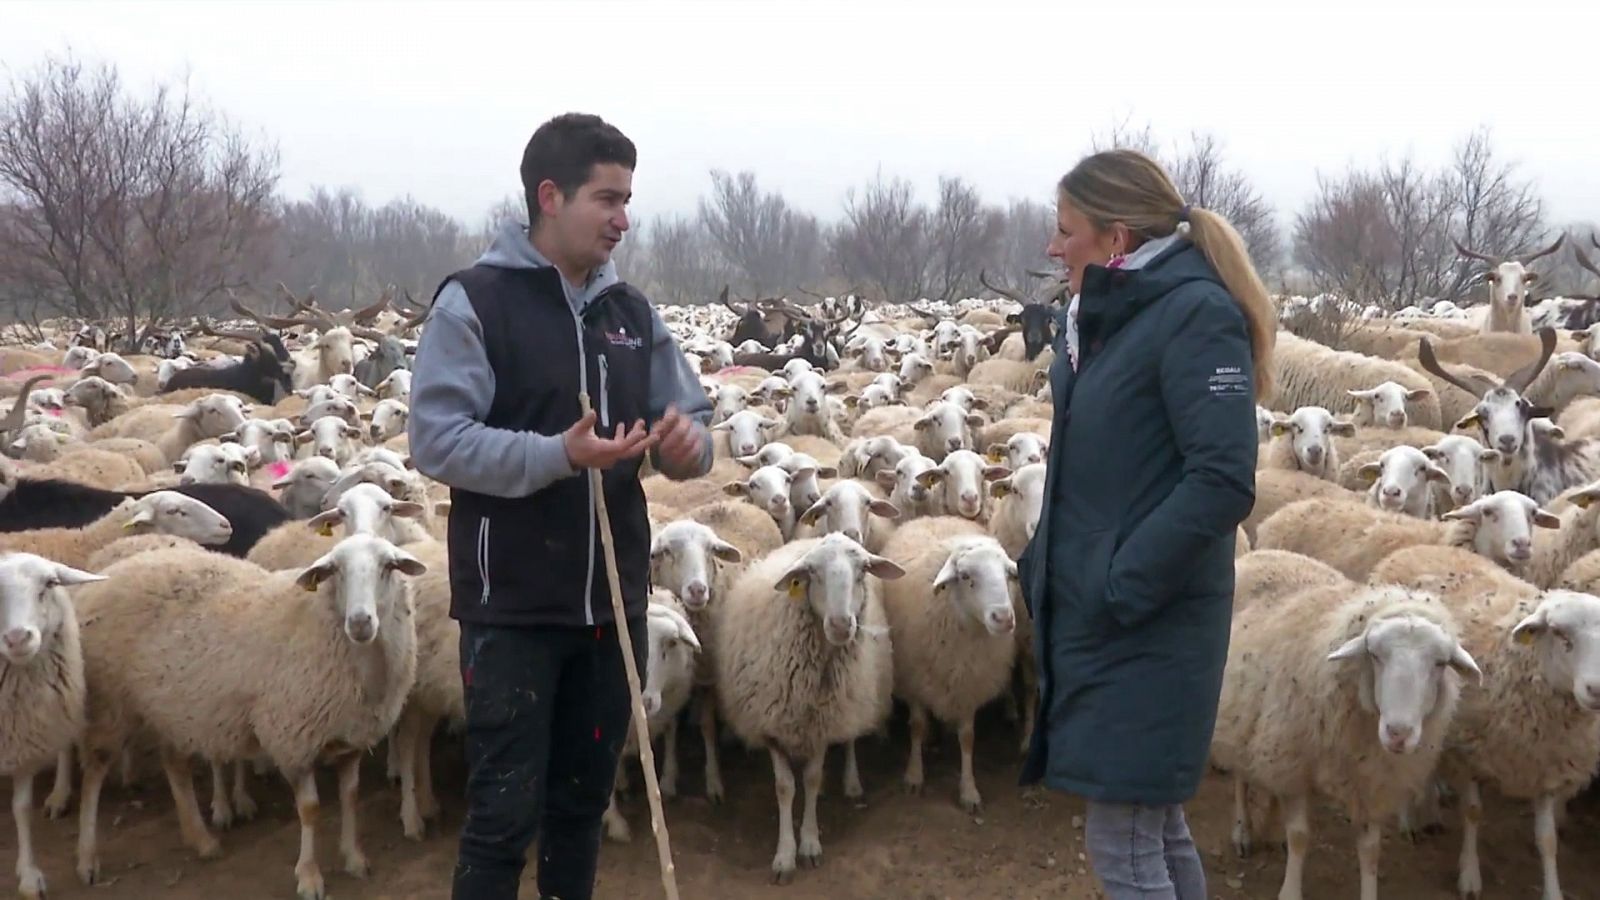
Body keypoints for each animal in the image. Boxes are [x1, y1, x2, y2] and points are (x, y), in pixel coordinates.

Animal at [713, 528, 902, 877]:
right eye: (812, 573)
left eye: (863, 570)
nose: (841, 624)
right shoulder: (770, 724)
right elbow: (785, 787)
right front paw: (785, 854)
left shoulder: (824, 723)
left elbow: (812, 780)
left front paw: (810, 843)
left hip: (852, 698)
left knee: (851, 737)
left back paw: (852, 782)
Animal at [883, 515, 1017, 810]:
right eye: (966, 577)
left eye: (1006, 574)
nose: (1003, 618)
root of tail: (933, 517)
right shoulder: (914, 679)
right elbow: (917, 726)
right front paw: (914, 775)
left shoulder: (969, 683)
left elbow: (967, 737)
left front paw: (969, 790)